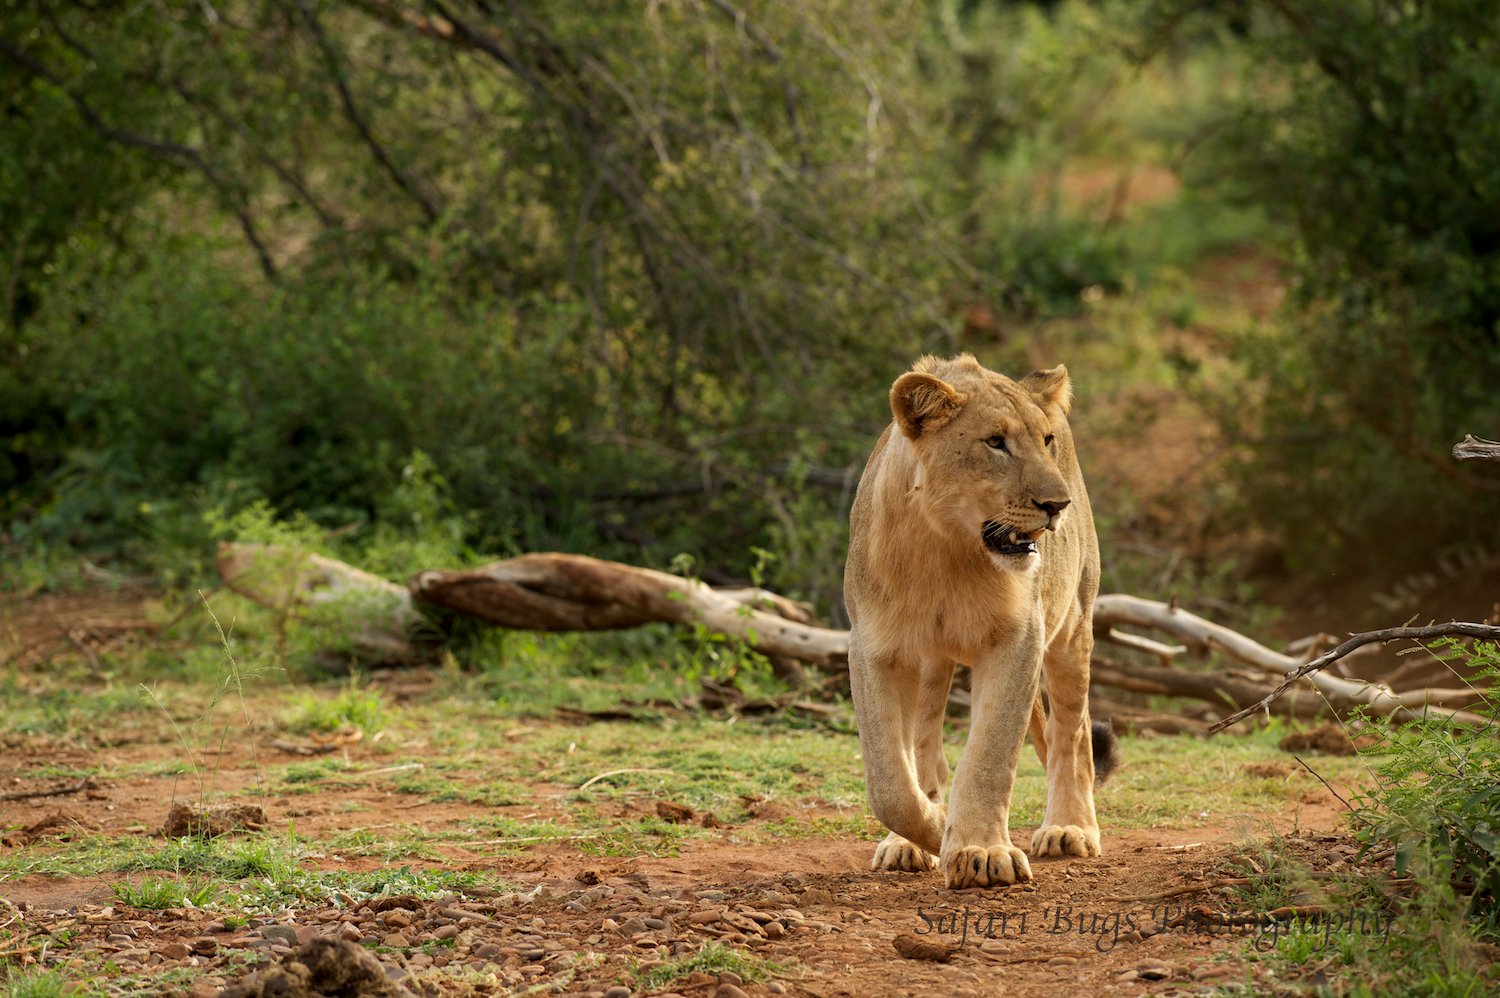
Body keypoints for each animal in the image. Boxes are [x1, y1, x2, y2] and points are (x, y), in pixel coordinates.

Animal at [846, 349, 1116, 888]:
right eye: (995, 443)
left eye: (1046, 441)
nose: (1057, 505)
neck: (945, 549)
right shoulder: (874, 647)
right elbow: (889, 781)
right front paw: (932, 828)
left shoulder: (1019, 638)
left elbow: (991, 754)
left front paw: (980, 850)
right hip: (930, 664)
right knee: (924, 748)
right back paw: (908, 842)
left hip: (1073, 625)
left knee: (1072, 734)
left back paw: (1070, 828)